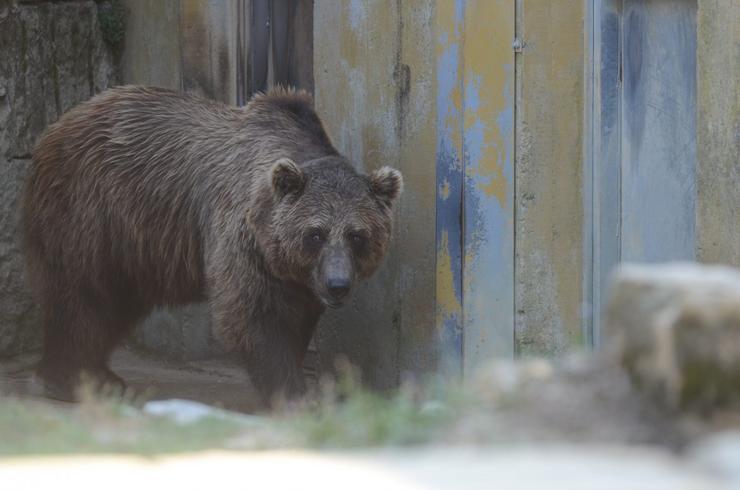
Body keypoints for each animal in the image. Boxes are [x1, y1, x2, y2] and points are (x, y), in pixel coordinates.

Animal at [23, 85, 402, 406]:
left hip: (134, 246)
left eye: (357, 235)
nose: (338, 284)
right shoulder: (242, 238)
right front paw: (294, 395)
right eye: (316, 233)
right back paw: (73, 379)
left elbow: (298, 319)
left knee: (116, 302)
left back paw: (98, 375)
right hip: (91, 211)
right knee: (84, 293)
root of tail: (60, 123)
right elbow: (254, 316)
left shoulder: (294, 276)